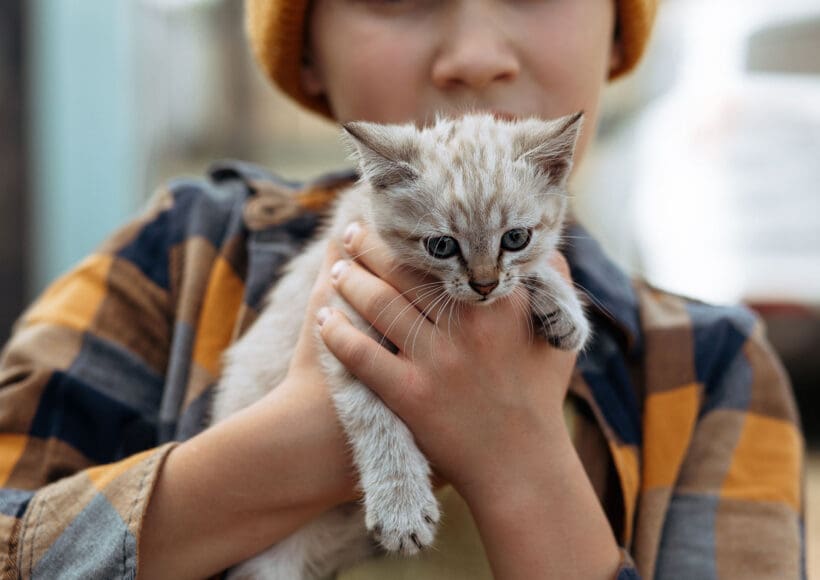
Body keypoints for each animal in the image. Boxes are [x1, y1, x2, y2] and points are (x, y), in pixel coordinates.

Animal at [208, 111, 588, 576]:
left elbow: (531, 271)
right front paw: (401, 508)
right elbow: (375, 417)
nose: (484, 285)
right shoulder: (344, 327)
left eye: (515, 238)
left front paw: (565, 309)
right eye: (441, 246)